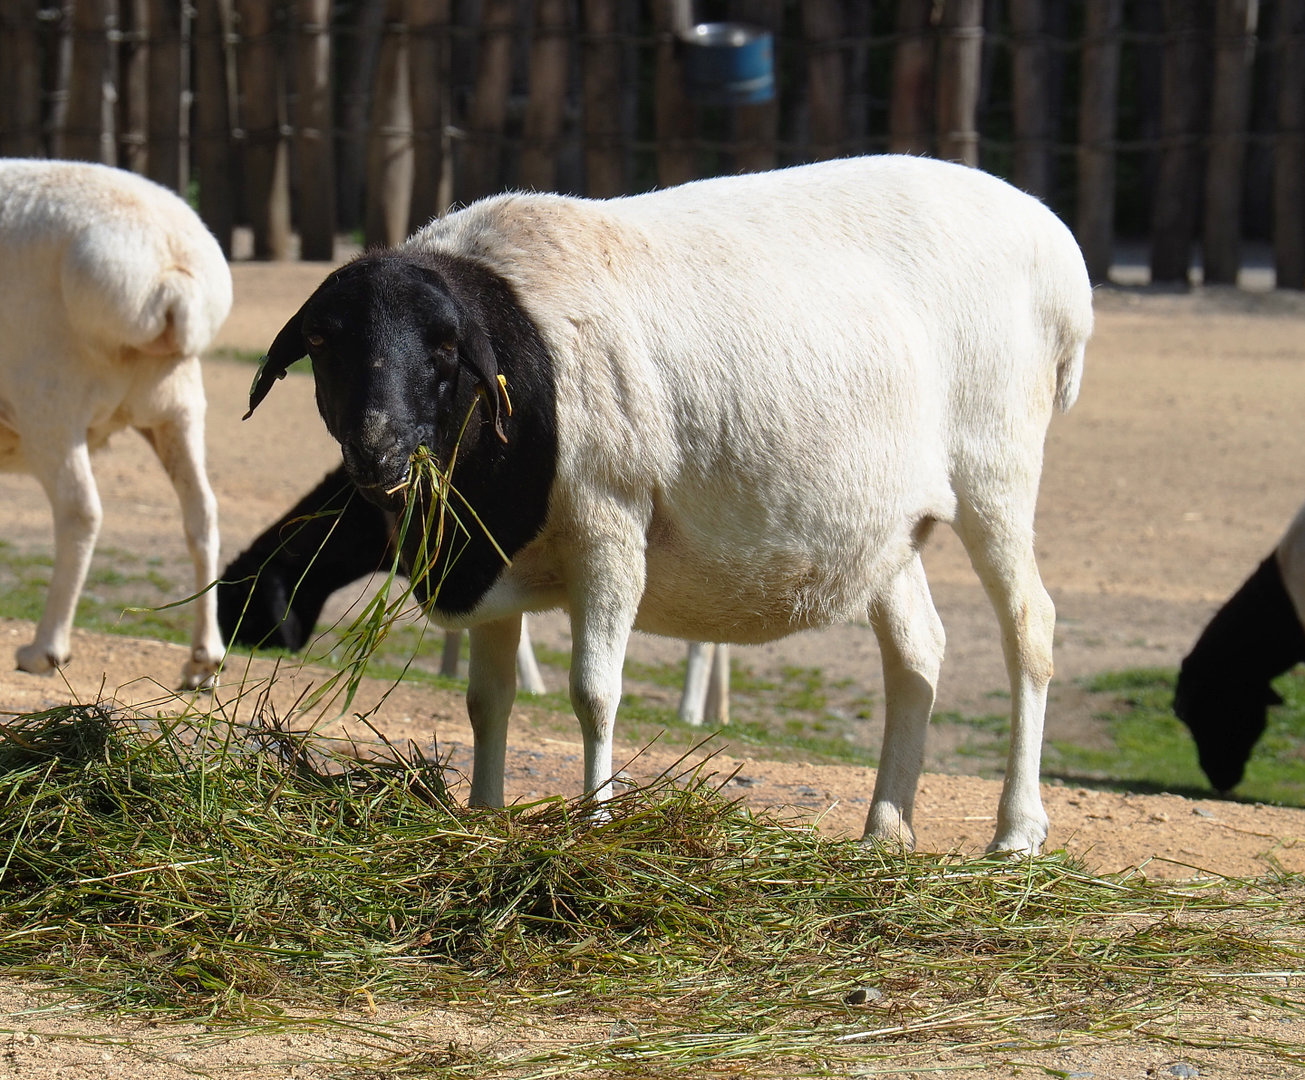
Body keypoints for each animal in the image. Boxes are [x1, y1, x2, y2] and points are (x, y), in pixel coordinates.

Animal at [0, 159, 230, 689]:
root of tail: (168, 271)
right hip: (177, 403)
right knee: (202, 513)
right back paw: (203, 662)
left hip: (50, 399)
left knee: (80, 511)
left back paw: (45, 649)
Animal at [244, 154, 1093, 855]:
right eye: (321, 342)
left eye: (447, 348)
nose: (377, 448)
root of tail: (1058, 245)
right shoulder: (488, 551)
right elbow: (487, 701)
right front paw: (483, 817)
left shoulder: (610, 525)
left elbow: (594, 694)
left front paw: (595, 822)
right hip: (886, 527)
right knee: (917, 651)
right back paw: (884, 831)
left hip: (996, 468)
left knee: (1029, 627)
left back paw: (1015, 833)